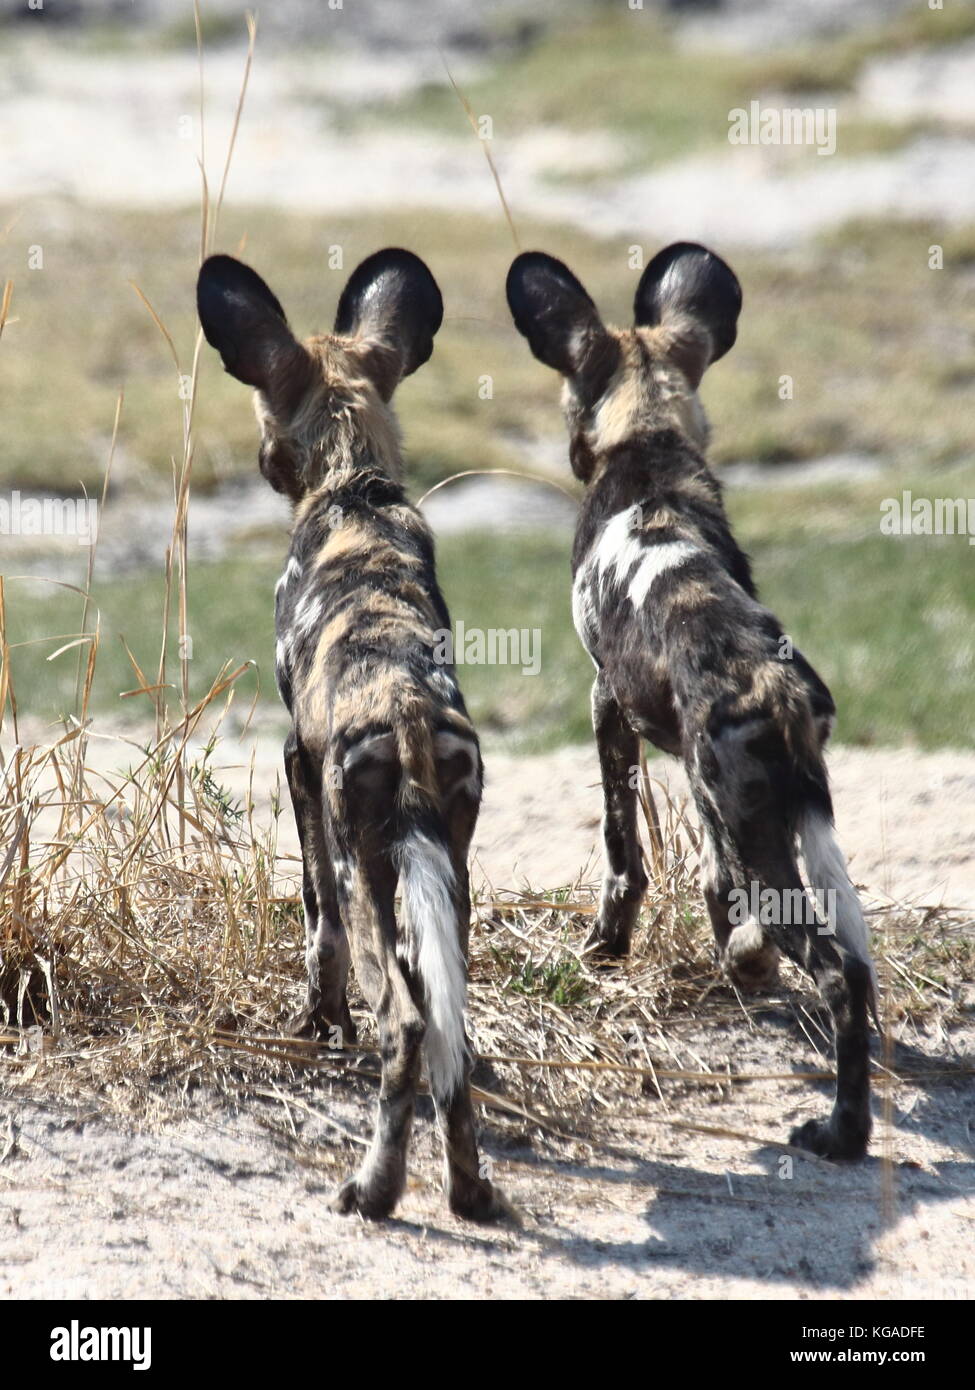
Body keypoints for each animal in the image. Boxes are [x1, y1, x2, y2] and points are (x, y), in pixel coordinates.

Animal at [197, 247, 500, 1217]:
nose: (261, 462)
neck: (352, 490)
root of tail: (404, 711)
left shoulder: (298, 761)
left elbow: (314, 914)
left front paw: (317, 1021)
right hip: (445, 867)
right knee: (449, 1030)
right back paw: (468, 1190)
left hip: (370, 856)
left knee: (403, 1022)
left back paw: (373, 1188)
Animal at [509, 244, 873, 1156]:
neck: (649, 445)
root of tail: (774, 681)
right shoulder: (700, 774)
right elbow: (711, 878)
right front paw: (729, 958)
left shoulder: (605, 703)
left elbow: (620, 854)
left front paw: (605, 950)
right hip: (765, 812)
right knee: (848, 961)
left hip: (761, 835)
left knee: (836, 971)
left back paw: (840, 1131)